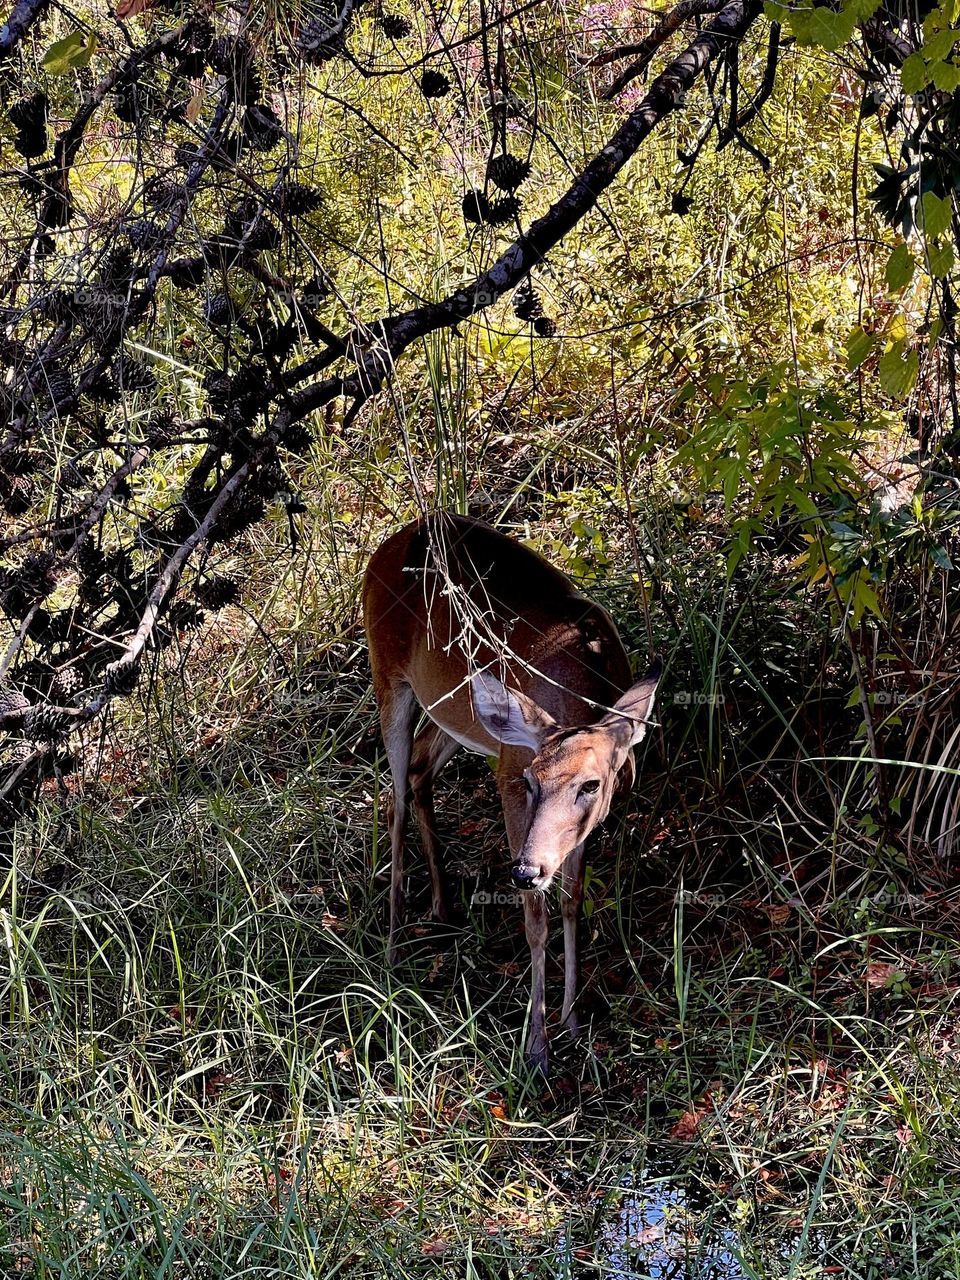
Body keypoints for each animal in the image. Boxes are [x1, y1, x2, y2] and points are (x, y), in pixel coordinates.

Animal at [362, 511, 661, 1073]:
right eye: (530, 782)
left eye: (592, 784)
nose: (525, 870)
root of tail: (386, 547)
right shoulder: (507, 772)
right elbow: (536, 920)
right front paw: (538, 1047)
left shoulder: (575, 827)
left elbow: (571, 902)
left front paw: (572, 1022)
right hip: (388, 676)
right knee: (393, 798)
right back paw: (391, 949)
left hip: (453, 715)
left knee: (417, 773)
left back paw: (443, 909)